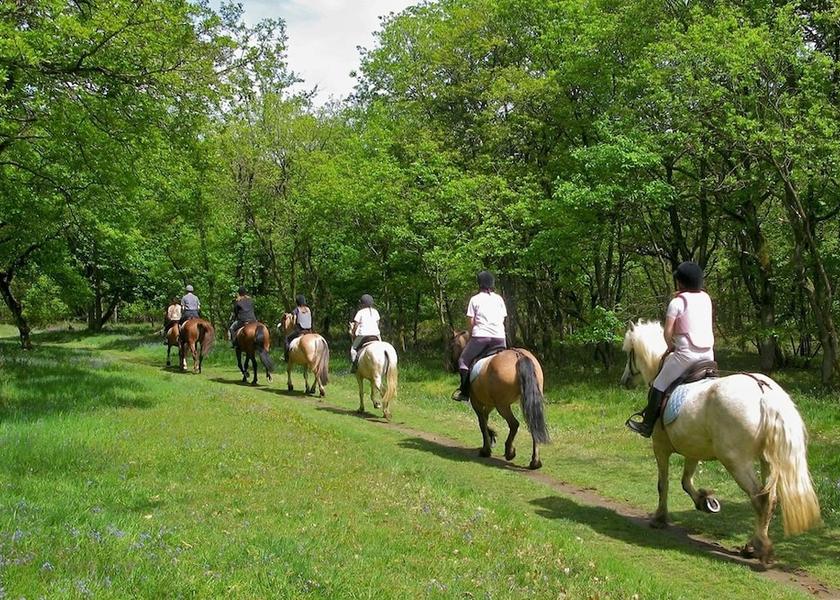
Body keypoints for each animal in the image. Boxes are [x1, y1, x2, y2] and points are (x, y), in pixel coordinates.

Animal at [451, 332, 550, 470]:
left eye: (452, 346)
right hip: (526, 401)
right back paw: (535, 462)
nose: (450, 366)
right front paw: (492, 437)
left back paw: (510, 452)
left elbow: (482, 423)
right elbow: (485, 418)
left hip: (502, 405)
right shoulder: (490, 404)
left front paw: (486, 450)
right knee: (532, 425)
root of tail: (518, 355)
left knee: (514, 424)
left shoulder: (477, 402)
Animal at [620, 320, 821, 564]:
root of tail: (765, 393)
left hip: (736, 461)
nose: (624, 380)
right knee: (770, 499)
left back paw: (758, 548)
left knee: (759, 499)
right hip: (768, 461)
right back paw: (753, 544)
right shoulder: (692, 450)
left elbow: (663, 484)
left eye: (629, 353)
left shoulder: (660, 447)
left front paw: (660, 518)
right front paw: (705, 502)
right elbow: (685, 481)